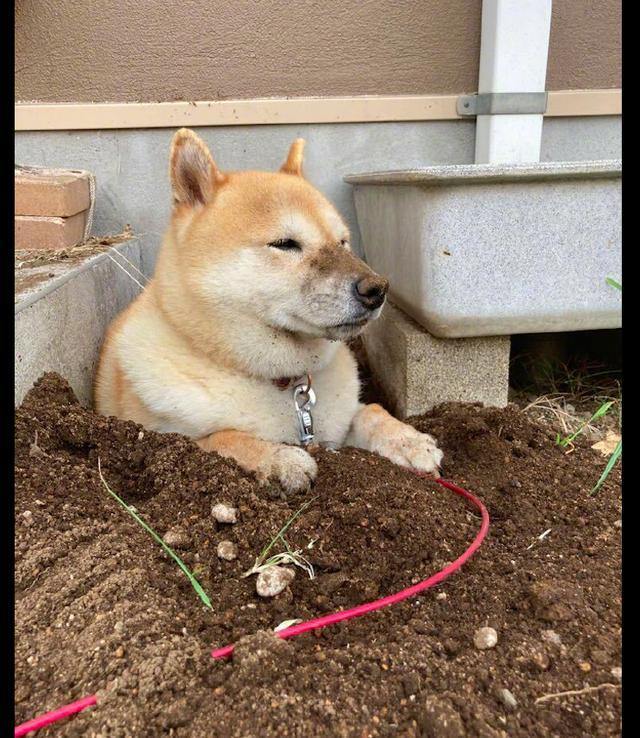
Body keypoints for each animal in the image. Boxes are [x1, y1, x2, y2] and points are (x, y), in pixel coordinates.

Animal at [95, 129, 443, 493]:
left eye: (343, 242)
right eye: (285, 244)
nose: (378, 290)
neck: (280, 380)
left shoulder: (339, 423)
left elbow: (372, 411)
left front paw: (409, 441)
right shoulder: (164, 437)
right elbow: (223, 438)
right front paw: (280, 458)